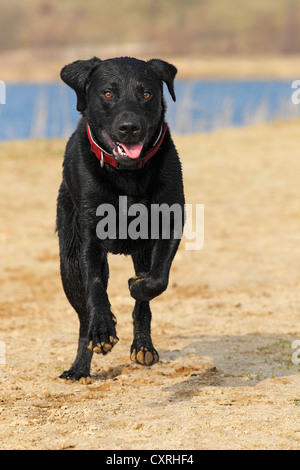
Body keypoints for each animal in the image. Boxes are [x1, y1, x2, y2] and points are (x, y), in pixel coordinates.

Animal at [55, 57, 184, 380]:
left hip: (141, 251)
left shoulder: (171, 222)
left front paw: (137, 286)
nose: (129, 128)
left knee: (144, 302)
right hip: (68, 264)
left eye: (146, 93)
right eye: (108, 93)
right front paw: (102, 329)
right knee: (82, 316)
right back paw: (80, 366)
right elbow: (95, 285)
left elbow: (156, 281)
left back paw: (143, 346)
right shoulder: (90, 236)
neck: (127, 176)